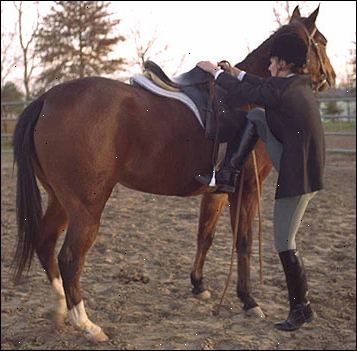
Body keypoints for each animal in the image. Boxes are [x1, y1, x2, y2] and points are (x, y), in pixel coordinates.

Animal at [11, 4, 334, 342]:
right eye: (322, 42)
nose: (332, 77)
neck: (251, 95)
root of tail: (47, 99)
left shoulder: (217, 191)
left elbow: (205, 235)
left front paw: (199, 285)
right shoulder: (247, 190)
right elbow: (243, 242)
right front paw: (248, 300)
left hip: (61, 200)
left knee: (45, 241)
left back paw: (61, 309)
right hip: (86, 207)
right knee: (70, 258)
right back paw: (87, 325)